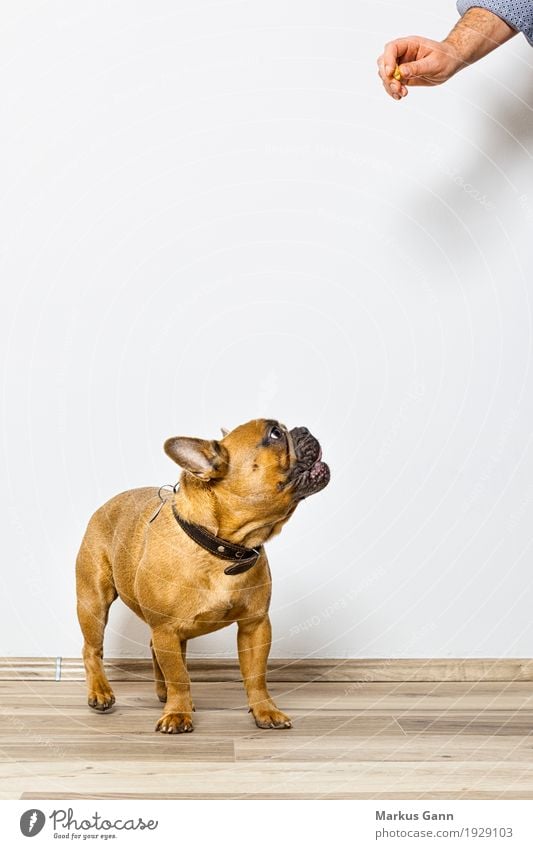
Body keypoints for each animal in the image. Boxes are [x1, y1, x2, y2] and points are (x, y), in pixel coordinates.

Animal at [76, 418, 328, 728]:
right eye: (275, 434)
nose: (304, 429)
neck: (223, 548)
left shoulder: (255, 625)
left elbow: (256, 675)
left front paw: (265, 710)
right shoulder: (167, 629)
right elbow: (179, 676)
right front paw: (177, 713)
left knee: (155, 651)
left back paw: (162, 692)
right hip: (94, 601)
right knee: (92, 649)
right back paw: (101, 692)